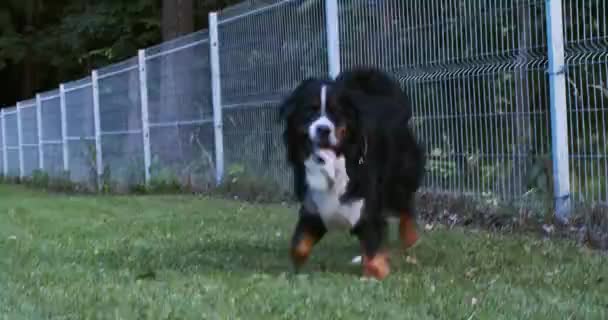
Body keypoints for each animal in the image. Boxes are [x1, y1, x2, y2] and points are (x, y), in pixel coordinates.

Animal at [278, 66, 426, 278]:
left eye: (336, 112)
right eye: (310, 110)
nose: (323, 129)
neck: (331, 164)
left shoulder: (367, 210)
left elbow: (373, 252)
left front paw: (378, 271)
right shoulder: (313, 209)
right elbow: (299, 247)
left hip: (399, 179)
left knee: (406, 206)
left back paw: (410, 239)